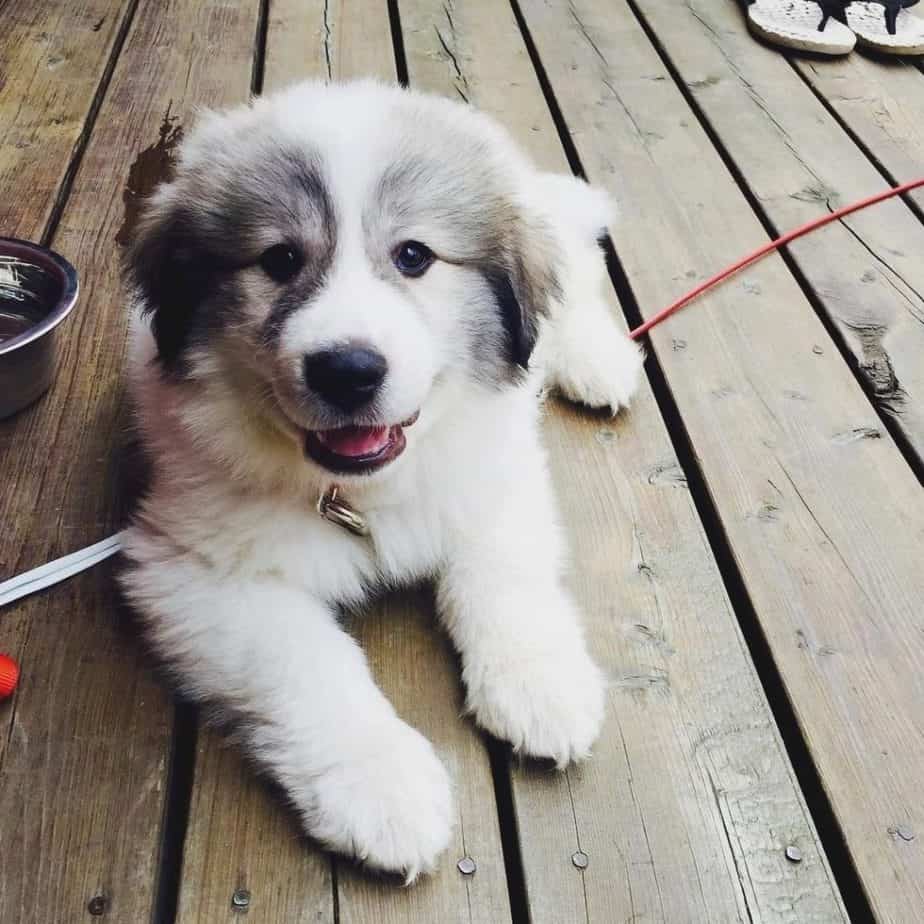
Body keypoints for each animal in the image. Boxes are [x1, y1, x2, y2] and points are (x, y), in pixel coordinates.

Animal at [121, 81, 644, 880]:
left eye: (414, 255)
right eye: (279, 259)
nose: (347, 370)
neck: (359, 490)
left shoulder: (498, 474)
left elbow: (503, 576)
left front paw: (541, 686)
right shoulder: (192, 567)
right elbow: (309, 663)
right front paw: (381, 789)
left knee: (572, 277)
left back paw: (597, 360)